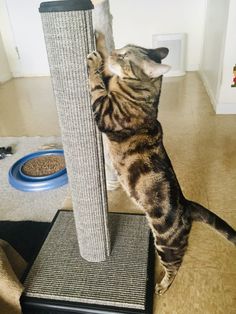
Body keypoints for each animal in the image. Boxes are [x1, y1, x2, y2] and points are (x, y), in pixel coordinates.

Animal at [87, 33, 236, 296]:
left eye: (125, 56)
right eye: (121, 48)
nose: (116, 52)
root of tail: (187, 204)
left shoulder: (105, 113)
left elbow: (96, 83)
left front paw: (94, 58)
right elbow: (104, 72)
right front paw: (101, 41)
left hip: (166, 244)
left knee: (176, 266)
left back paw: (163, 286)